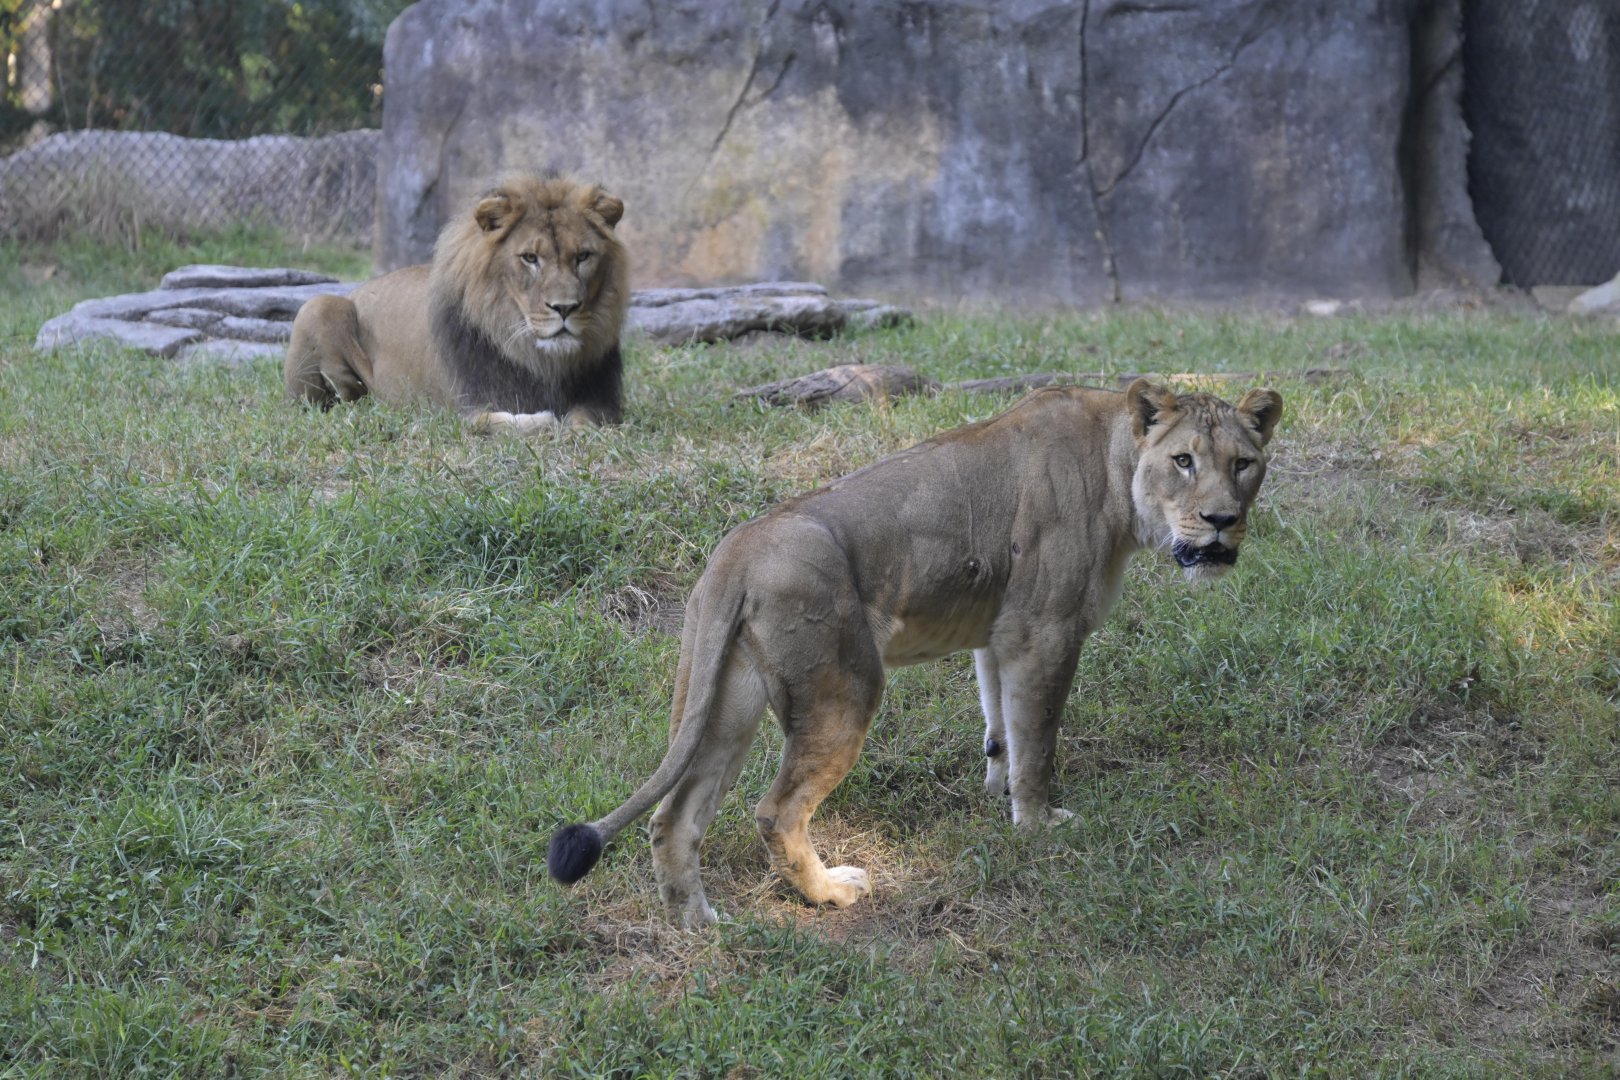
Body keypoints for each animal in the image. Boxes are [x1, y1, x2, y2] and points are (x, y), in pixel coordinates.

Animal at [285, 174, 630, 431]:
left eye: (583, 256)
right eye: (530, 258)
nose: (565, 308)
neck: (539, 360)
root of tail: (356, 290)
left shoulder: (602, 402)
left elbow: (586, 421)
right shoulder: (460, 409)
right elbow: (502, 422)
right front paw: (545, 420)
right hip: (316, 306)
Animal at [547, 379, 1283, 928]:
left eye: (1243, 464)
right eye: (1184, 461)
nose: (1221, 522)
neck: (1116, 469)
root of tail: (735, 552)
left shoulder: (1000, 634)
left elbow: (1001, 727)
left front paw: (997, 792)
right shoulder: (1045, 631)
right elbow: (1038, 739)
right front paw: (1038, 823)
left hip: (725, 699)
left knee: (674, 817)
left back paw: (697, 927)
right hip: (844, 689)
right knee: (776, 811)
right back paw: (831, 893)